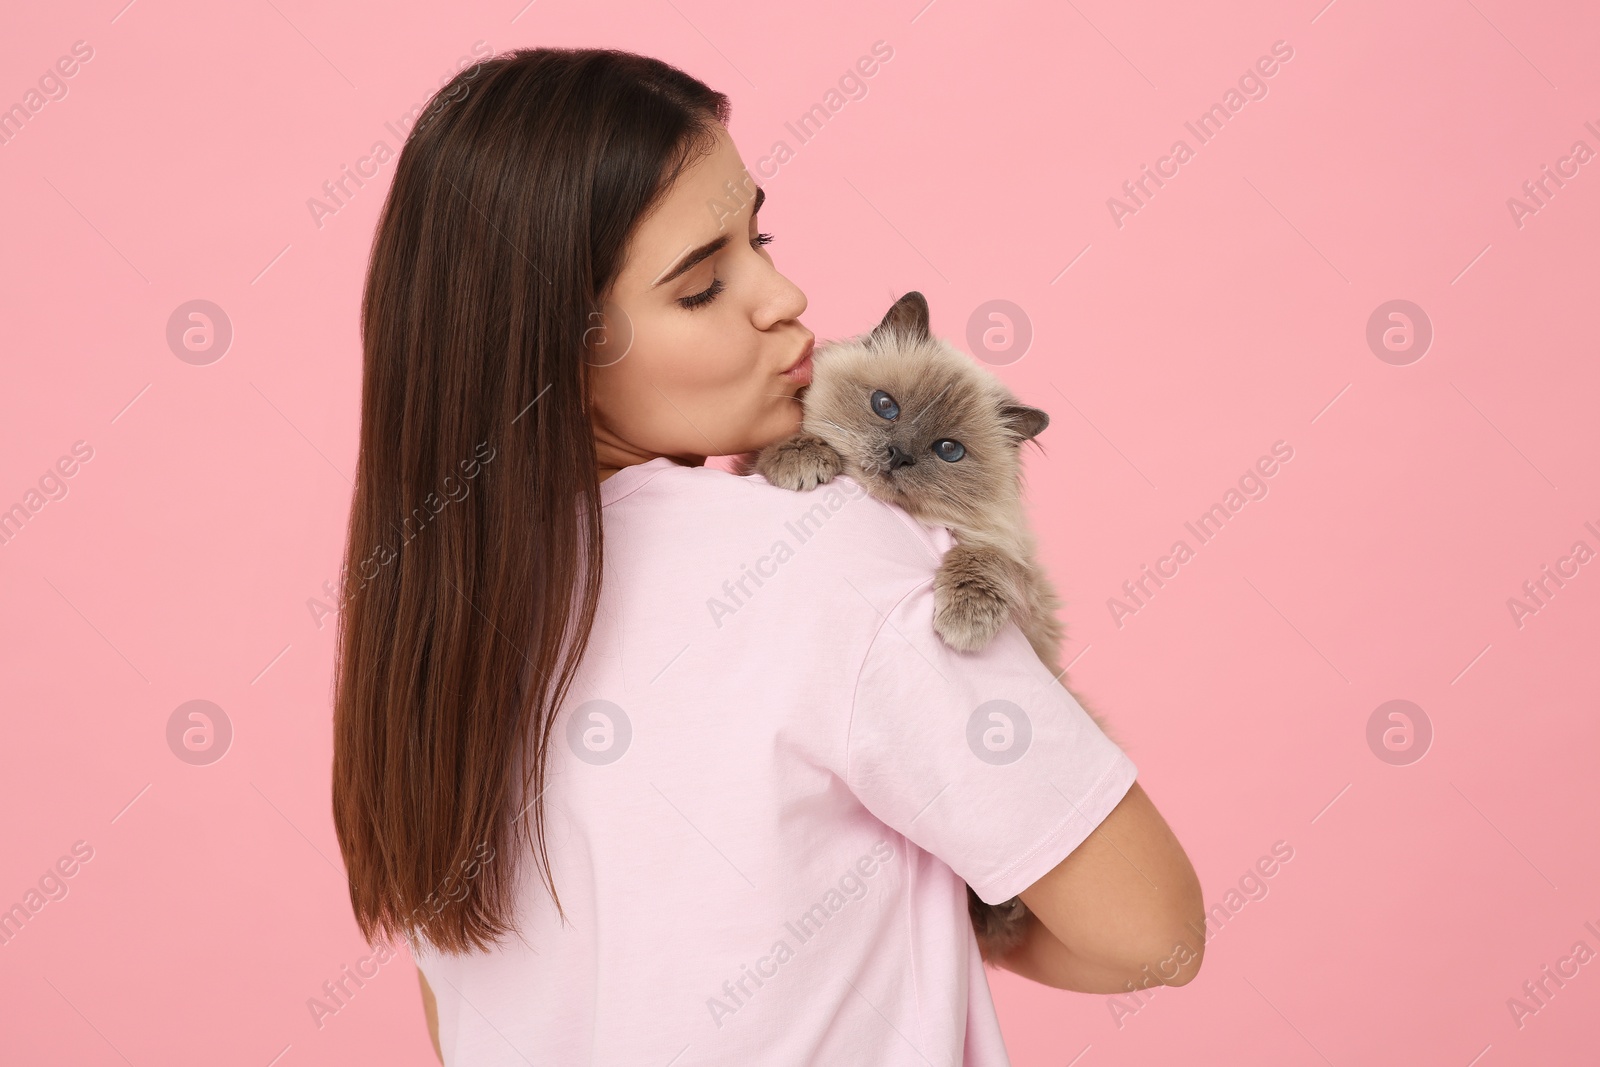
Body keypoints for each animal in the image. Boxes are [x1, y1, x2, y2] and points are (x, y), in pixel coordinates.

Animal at [736, 292, 1113, 966]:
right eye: (886, 406)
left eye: (948, 452)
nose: (899, 455)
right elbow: (781, 447)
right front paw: (801, 460)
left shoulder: (1018, 579)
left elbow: (983, 562)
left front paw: (960, 619)